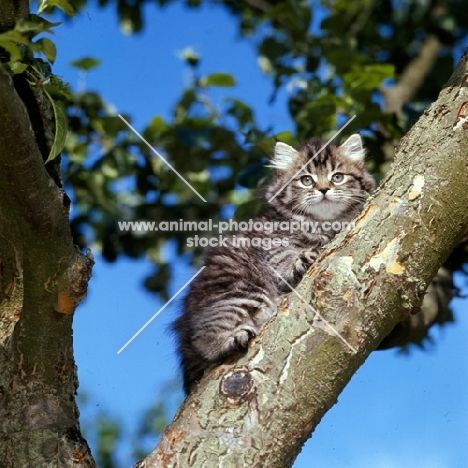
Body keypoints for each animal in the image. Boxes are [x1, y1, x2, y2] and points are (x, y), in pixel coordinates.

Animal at [174, 133, 374, 394]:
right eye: (306, 180)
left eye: (337, 177)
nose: (323, 189)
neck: (321, 223)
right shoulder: (267, 241)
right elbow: (283, 257)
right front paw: (301, 259)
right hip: (241, 292)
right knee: (202, 339)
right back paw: (231, 340)